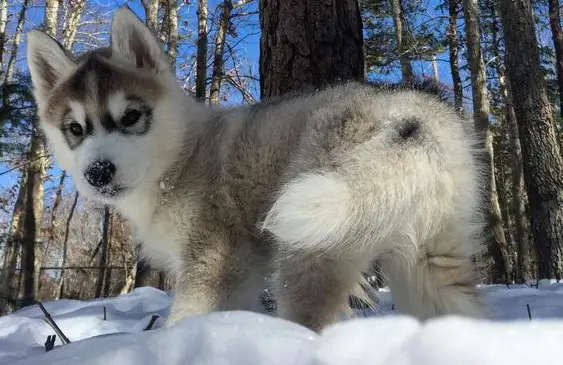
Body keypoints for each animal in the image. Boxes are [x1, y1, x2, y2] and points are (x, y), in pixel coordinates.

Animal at [25, 6, 484, 330]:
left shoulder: (214, 264)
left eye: (132, 116)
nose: (98, 173)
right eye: (74, 129)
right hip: (431, 259)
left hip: (312, 246)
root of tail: (413, 113)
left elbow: (185, 316)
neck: (181, 158)